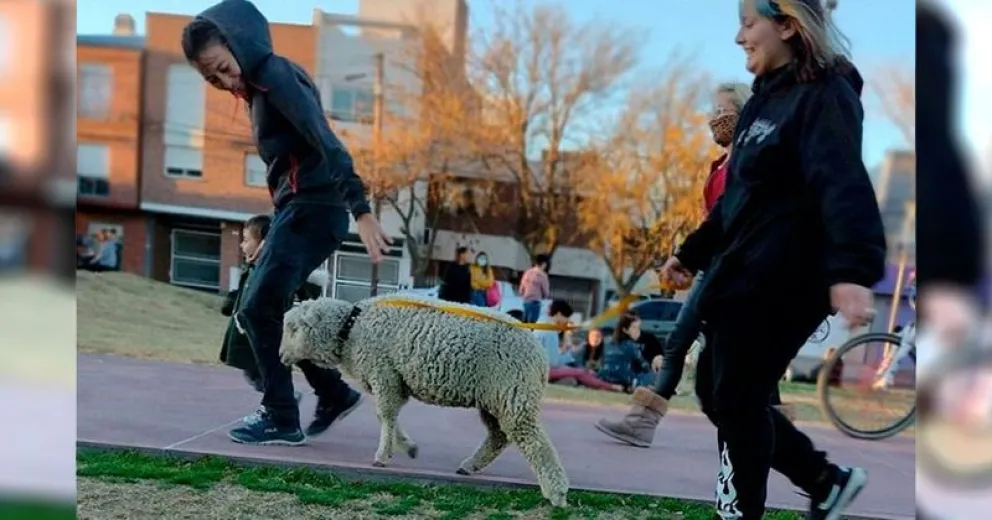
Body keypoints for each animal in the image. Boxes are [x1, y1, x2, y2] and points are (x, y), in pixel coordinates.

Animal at [279, 295, 570, 507]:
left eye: (294, 329)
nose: (281, 356)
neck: (352, 329)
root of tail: (540, 355)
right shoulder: (393, 381)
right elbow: (386, 416)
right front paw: (407, 446)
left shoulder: (384, 374)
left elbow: (385, 415)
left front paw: (382, 456)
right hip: (496, 399)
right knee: (498, 436)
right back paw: (470, 466)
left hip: (512, 393)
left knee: (533, 442)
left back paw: (557, 493)